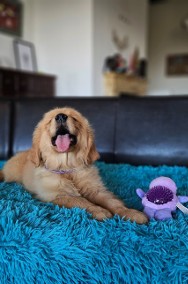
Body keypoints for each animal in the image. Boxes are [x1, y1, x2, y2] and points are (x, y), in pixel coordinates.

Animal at [0, 107, 148, 224]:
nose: (60, 116)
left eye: (75, 118)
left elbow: (112, 201)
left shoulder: (95, 189)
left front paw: (130, 212)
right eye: (50, 120)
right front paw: (99, 210)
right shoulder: (57, 195)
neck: (67, 167)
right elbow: (80, 201)